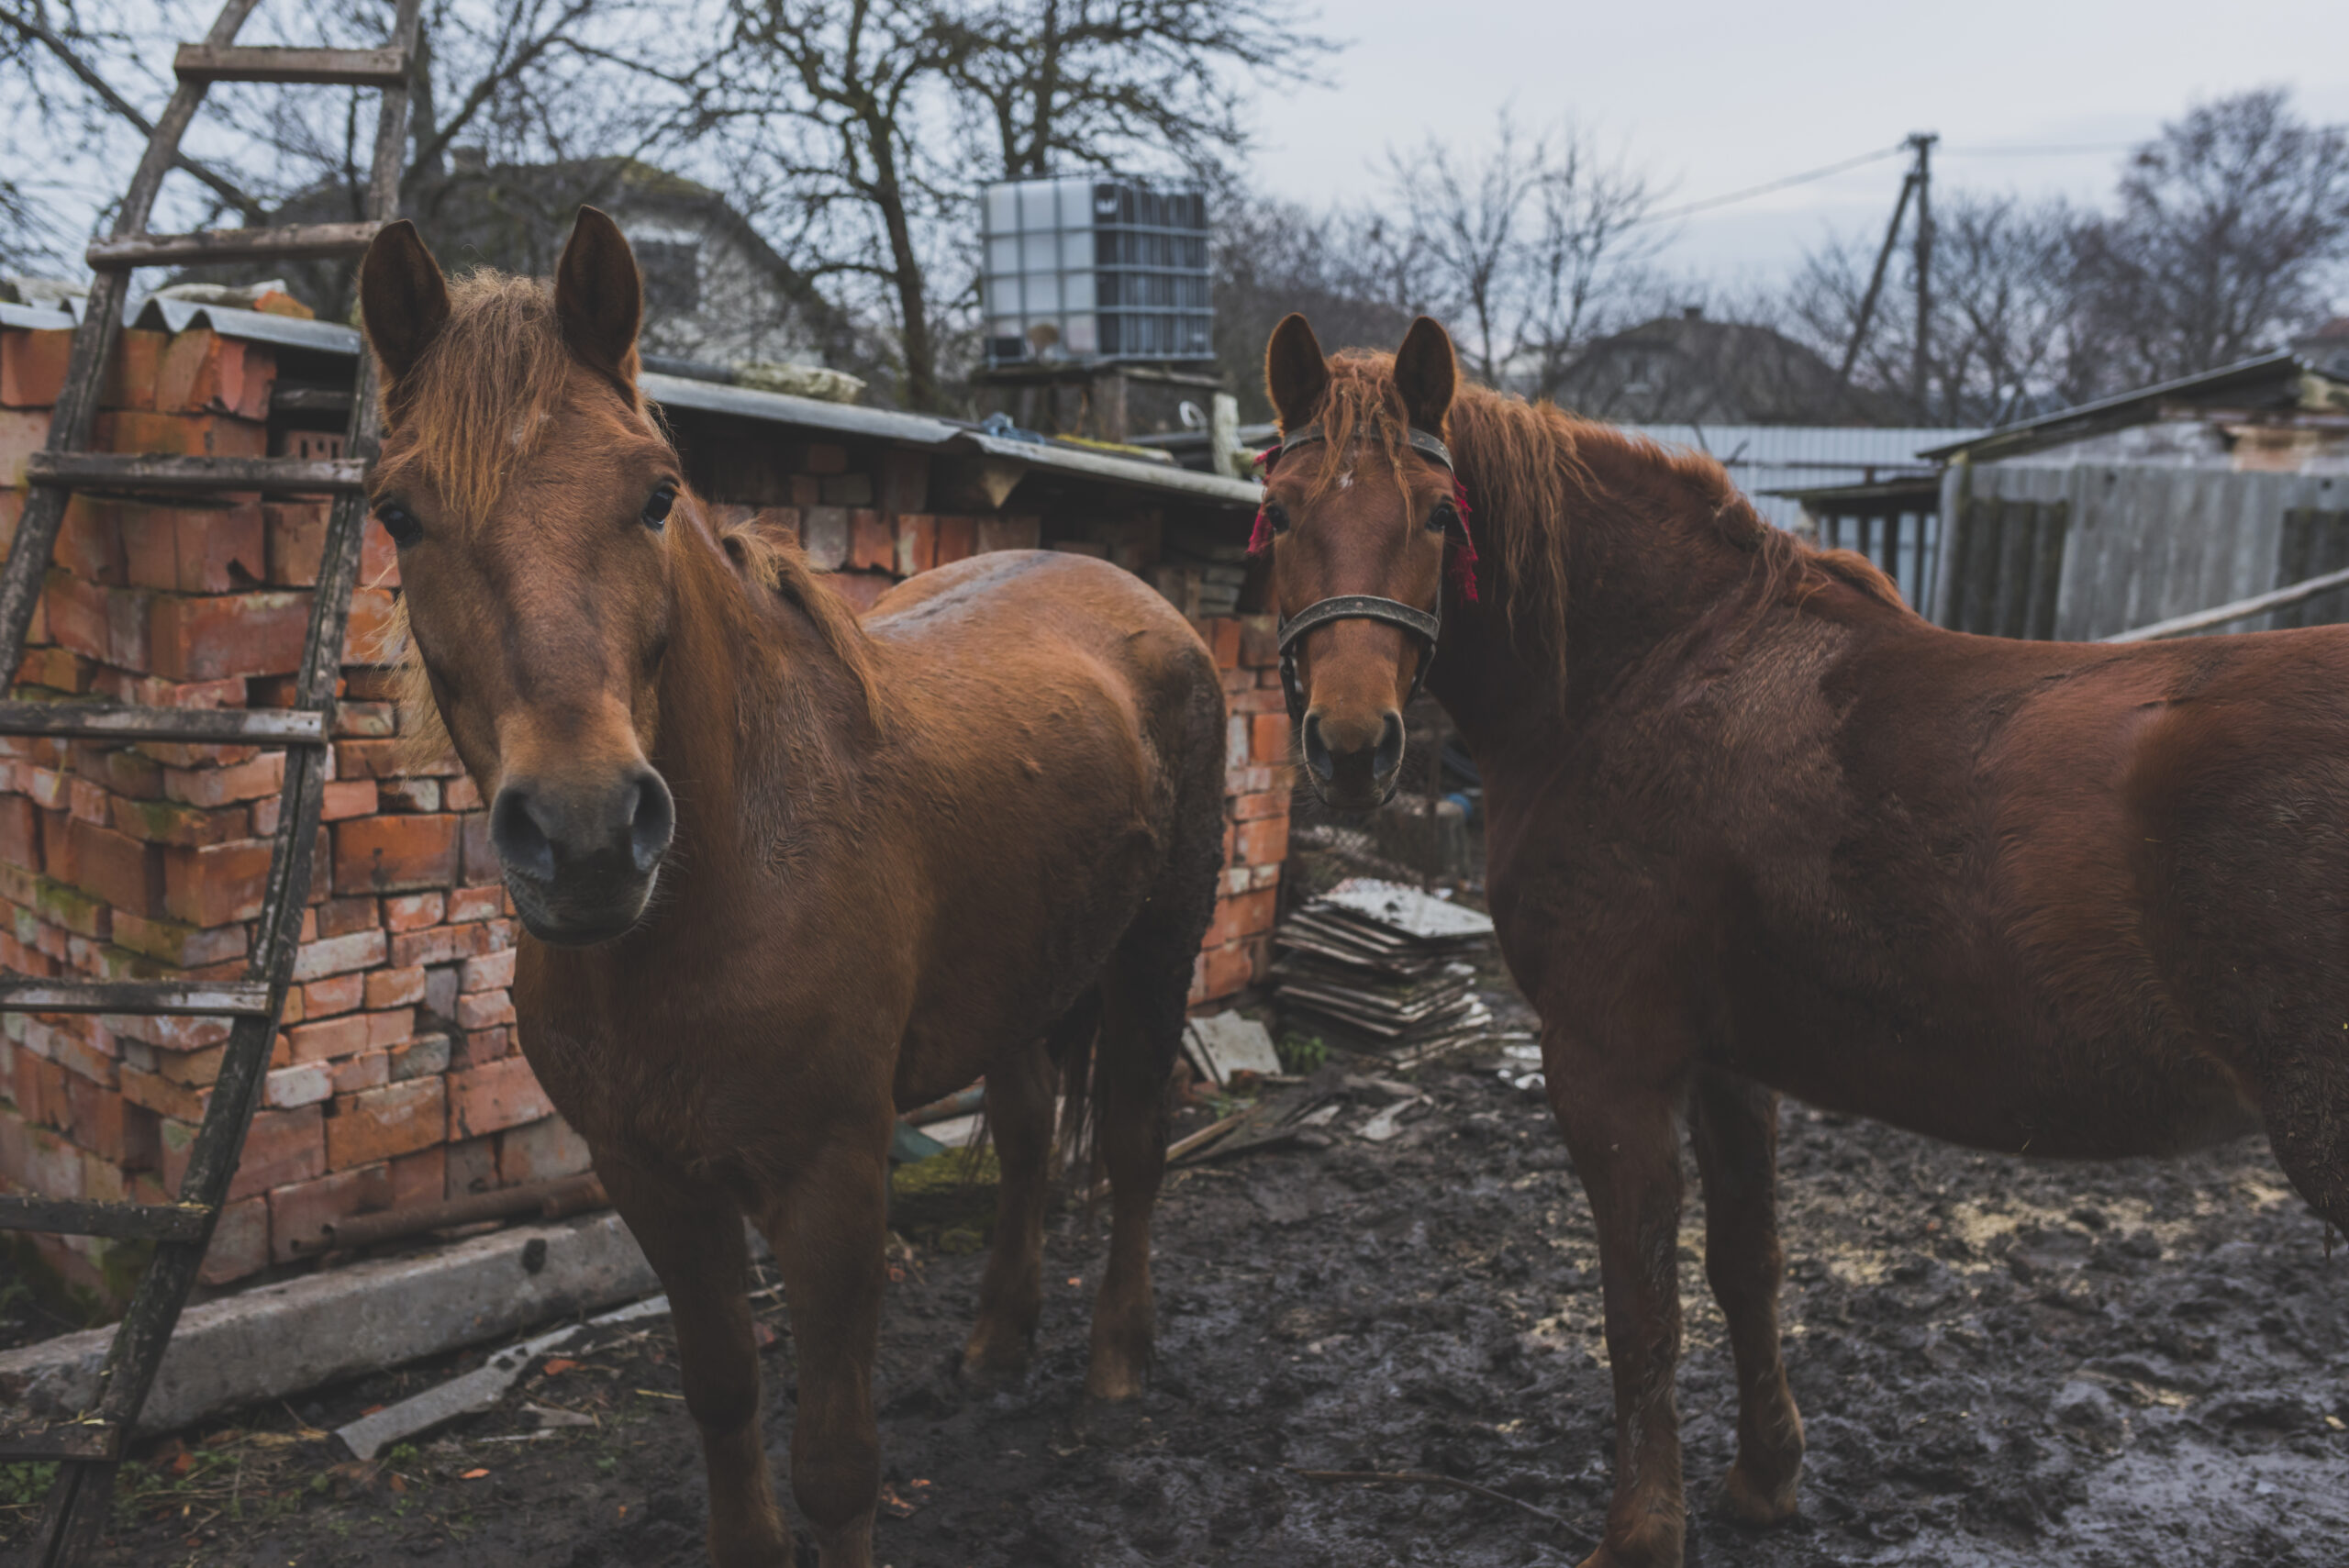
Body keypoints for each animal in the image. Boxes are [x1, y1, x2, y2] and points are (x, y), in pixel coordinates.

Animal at [359, 211, 1230, 1568]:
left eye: (655, 492)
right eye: (397, 511)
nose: (586, 831)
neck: (723, 888)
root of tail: (1136, 595)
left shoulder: (831, 1181)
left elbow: (834, 1462)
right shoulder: (648, 1176)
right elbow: (722, 1390)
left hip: (1155, 952)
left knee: (1134, 1144)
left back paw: (1115, 1367)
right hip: (1025, 980)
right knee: (1030, 1137)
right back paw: (995, 1343)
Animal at [1259, 314, 2349, 1568]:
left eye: (1440, 515)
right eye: (1280, 508)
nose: (1350, 745)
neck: (1653, 674)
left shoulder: (1604, 1060)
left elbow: (1638, 1296)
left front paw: (1640, 1533)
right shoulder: (1729, 1060)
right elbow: (1745, 1264)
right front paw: (1763, 1477)